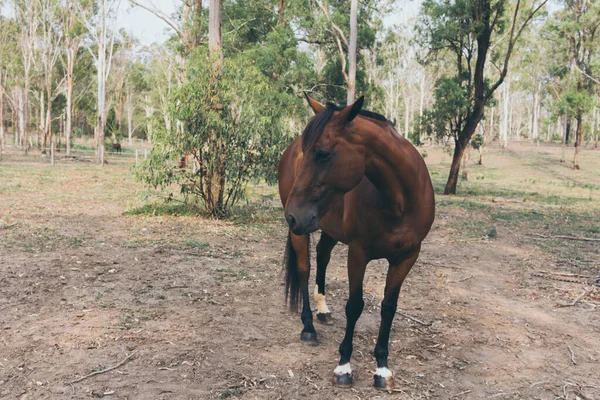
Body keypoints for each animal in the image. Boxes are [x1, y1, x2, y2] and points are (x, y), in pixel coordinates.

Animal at [278, 94, 434, 390]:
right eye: (308, 152)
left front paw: (382, 368)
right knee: (304, 269)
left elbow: (388, 307)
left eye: (323, 153)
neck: (399, 201)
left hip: (326, 227)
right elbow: (354, 306)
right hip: (301, 233)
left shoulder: (407, 258)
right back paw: (308, 327)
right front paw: (344, 366)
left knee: (323, 255)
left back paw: (324, 310)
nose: (293, 215)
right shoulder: (358, 254)